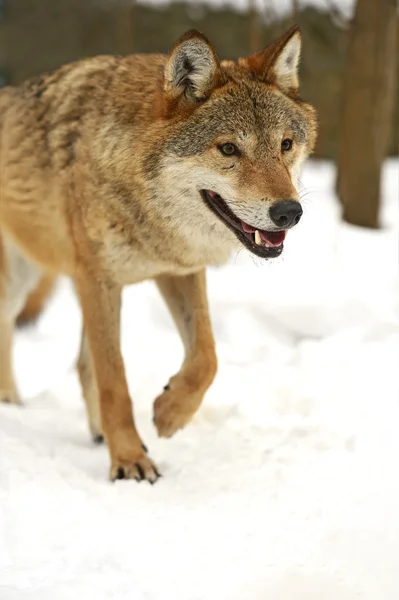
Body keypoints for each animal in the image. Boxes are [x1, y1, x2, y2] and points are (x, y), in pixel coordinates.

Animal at [0, 25, 318, 480]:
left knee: (82, 363)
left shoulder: (178, 270)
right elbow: (116, 380)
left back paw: (98, 433)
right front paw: (129, 461)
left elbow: (206, 357)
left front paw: (169, 415)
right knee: (11, 328)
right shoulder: (99, 279)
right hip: (21, 280)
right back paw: (12, 403)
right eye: (228, 149)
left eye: (285, 145)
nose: (290, 212)